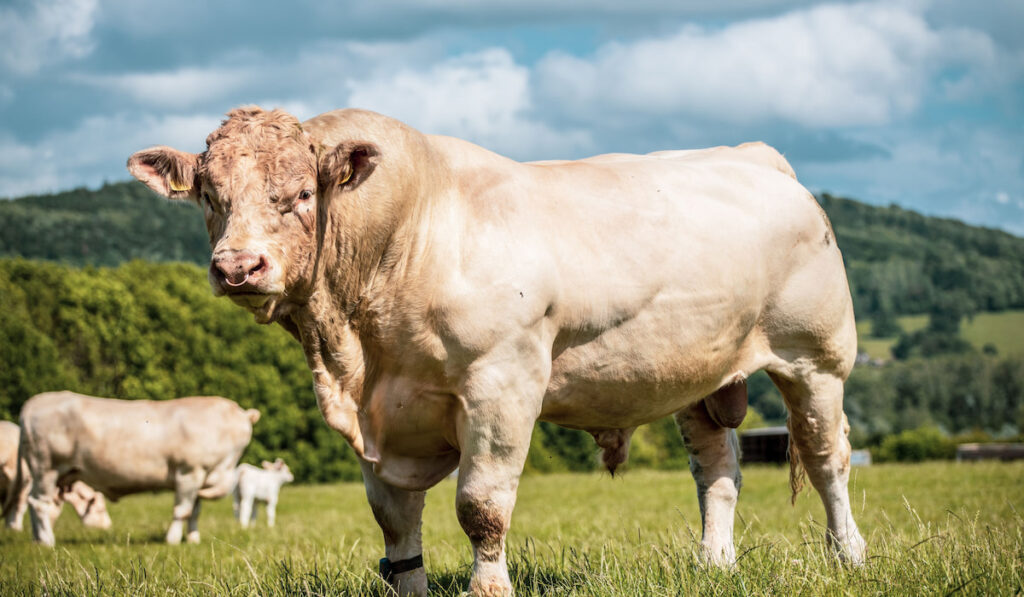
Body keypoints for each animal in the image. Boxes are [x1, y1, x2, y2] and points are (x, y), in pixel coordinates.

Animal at [4, 393, 260, 544]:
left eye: (245, 432)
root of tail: (34, 402)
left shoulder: (200, 477)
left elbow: (194, 512)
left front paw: (193, 539)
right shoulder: (189, 472)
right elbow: (182, 511)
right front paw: (173, 540)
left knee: (36, 503)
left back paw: (38, 539)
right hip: (45, 468)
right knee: (39, 503)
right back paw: (48, 541)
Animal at [125, 107, 864, 597]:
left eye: (302, 194)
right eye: (209, 196)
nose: (237, 267)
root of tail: (754, 153)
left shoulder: (501, 383)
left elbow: (480, 504)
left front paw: (488, 587)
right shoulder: (379, 416)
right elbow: (393, 517)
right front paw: (410, 587)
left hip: (817, 357)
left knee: (826, 457)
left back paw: (848, 554)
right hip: (699, 373)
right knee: (717, 468)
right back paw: (714, 562)